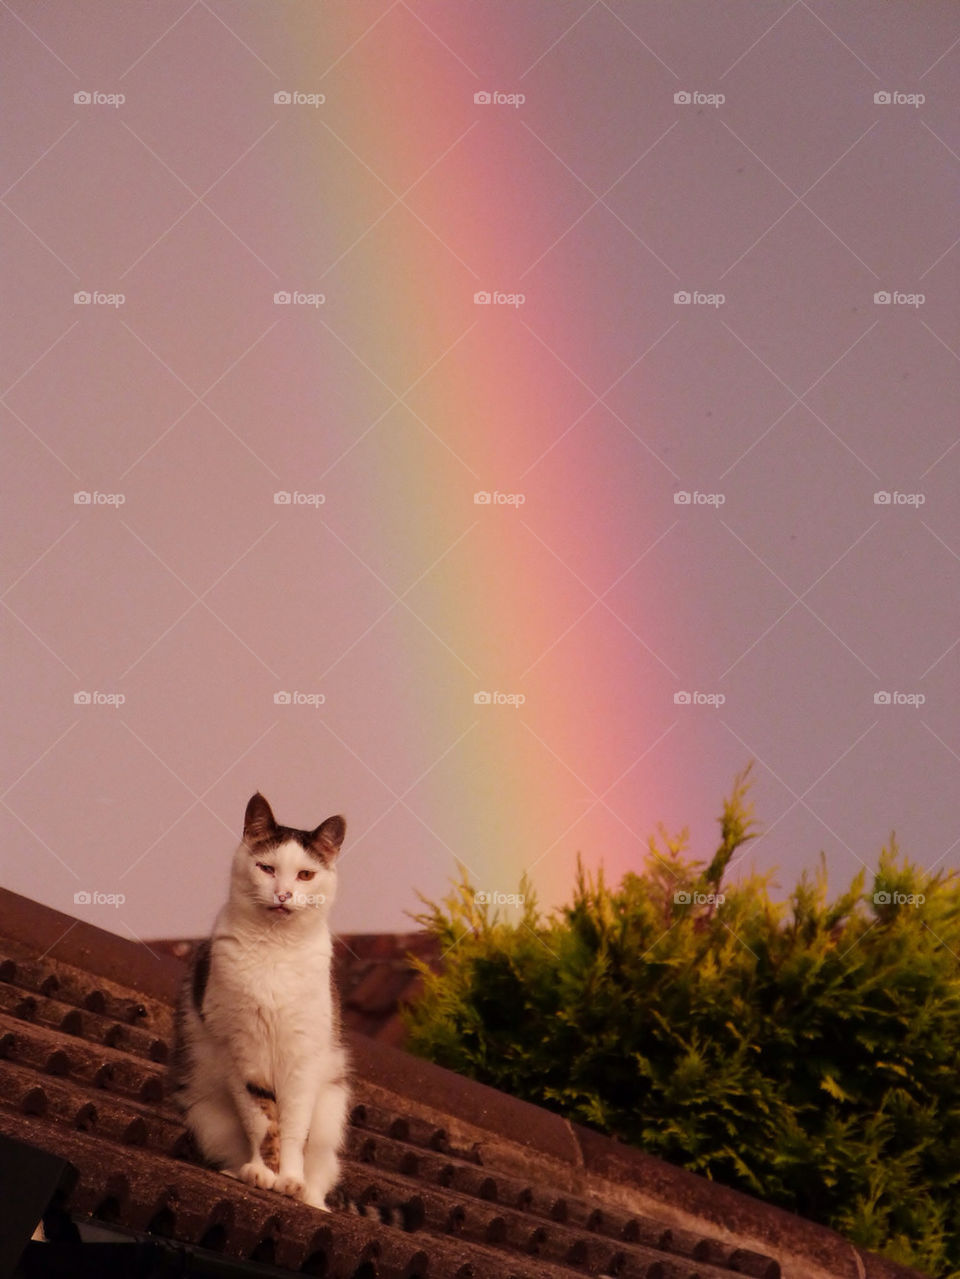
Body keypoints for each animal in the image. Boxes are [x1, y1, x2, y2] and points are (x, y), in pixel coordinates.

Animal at [171, 787, 350, 1207]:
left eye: (305, 874)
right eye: (267, 868)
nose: (284, 894)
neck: (275, 949)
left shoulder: (303, 1059)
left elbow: (293, 1127)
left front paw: (290, 1180)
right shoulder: (241, 1051)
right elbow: (260, 1120)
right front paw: (263, 1172)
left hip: (331, 1114)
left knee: (321, 1173)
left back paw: (311, 1197)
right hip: (207, 1115)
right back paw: (238, 1170)